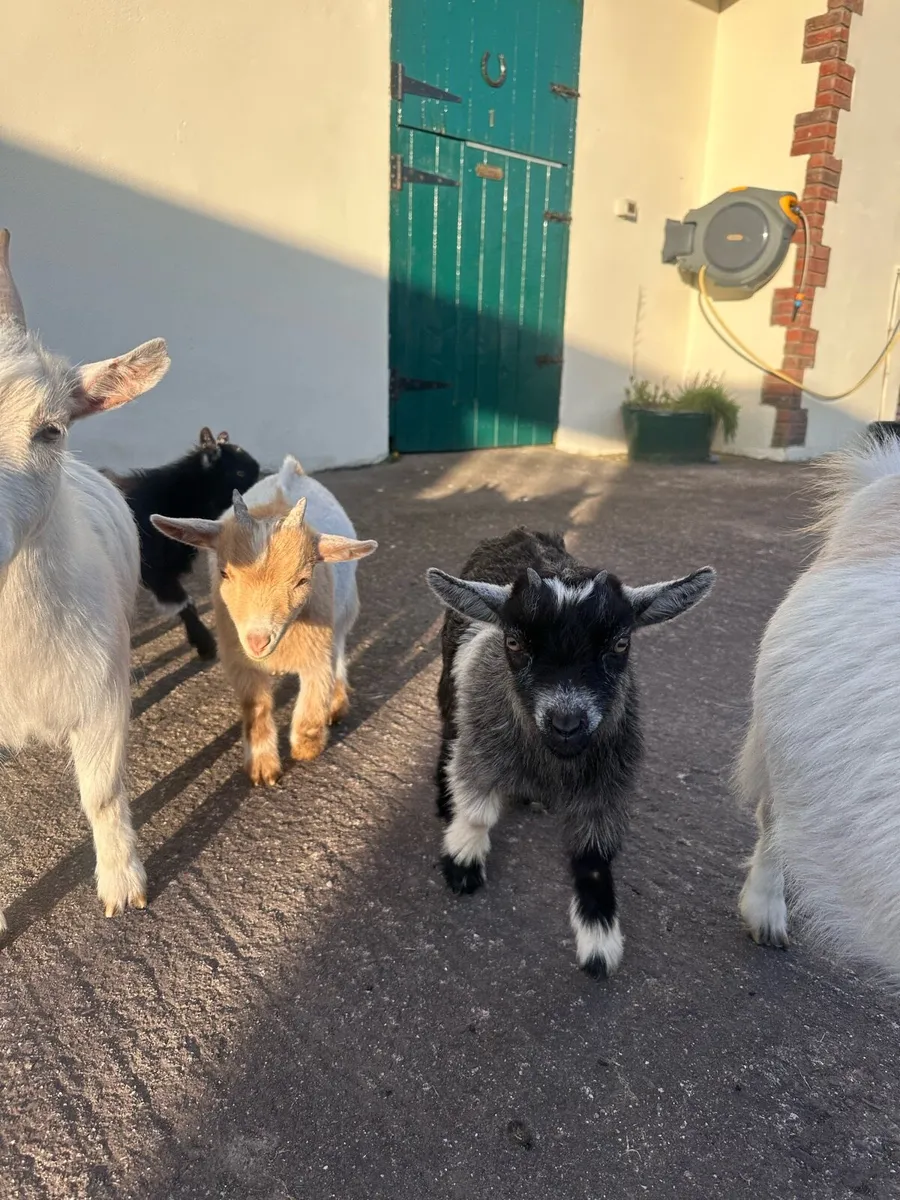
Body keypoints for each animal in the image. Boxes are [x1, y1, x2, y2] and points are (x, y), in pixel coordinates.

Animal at [151, 455, 377, 786]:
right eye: (224, 572)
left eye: (302, 579)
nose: (257, 641)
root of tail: (291, 469)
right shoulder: (240, 662)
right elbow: (255, 707)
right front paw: (262, 770)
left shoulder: (316, 653)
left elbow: (312, 702)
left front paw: (306, 748)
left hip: (344, 612)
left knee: (339, 653)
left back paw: (336, 704)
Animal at [427, 528, 715, 978]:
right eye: (513, 641)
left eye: (621, 642)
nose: (566, 723)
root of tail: (519, 532)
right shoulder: (480, 745)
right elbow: (475, 808)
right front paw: (463, 860)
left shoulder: (607, 783)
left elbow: (594, 857)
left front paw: (600, 939)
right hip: (447, 679)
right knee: (447, 729)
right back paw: (445, 798)